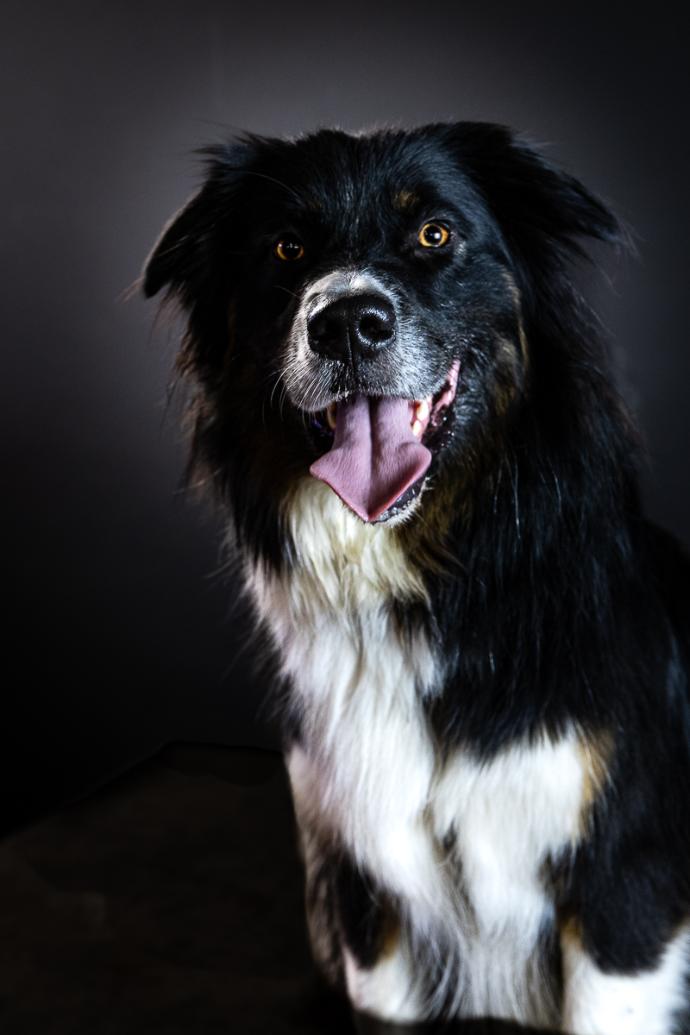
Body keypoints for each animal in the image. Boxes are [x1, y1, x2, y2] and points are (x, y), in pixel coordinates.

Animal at [141, 125, 690, 1030]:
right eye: (287, 248)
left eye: (435, 233)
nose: (346, 325)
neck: (437, 588)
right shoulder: (369, 892)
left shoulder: (625, 893)